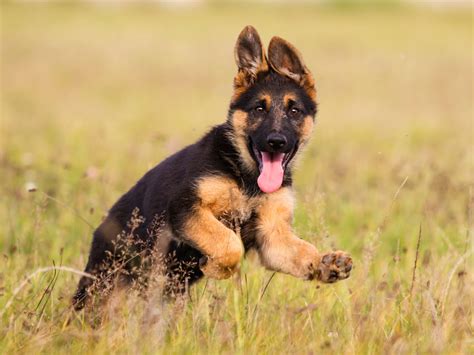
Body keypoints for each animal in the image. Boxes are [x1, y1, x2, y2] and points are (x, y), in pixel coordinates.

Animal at [73, 26, 352, 312]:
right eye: (259, 108)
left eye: (294, 110)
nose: (276, 141)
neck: (246, 178)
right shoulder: (184, 208)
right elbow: (229, 244)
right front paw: (216, 267)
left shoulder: (272, 236)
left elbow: (301, 251)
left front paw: (326, 263)